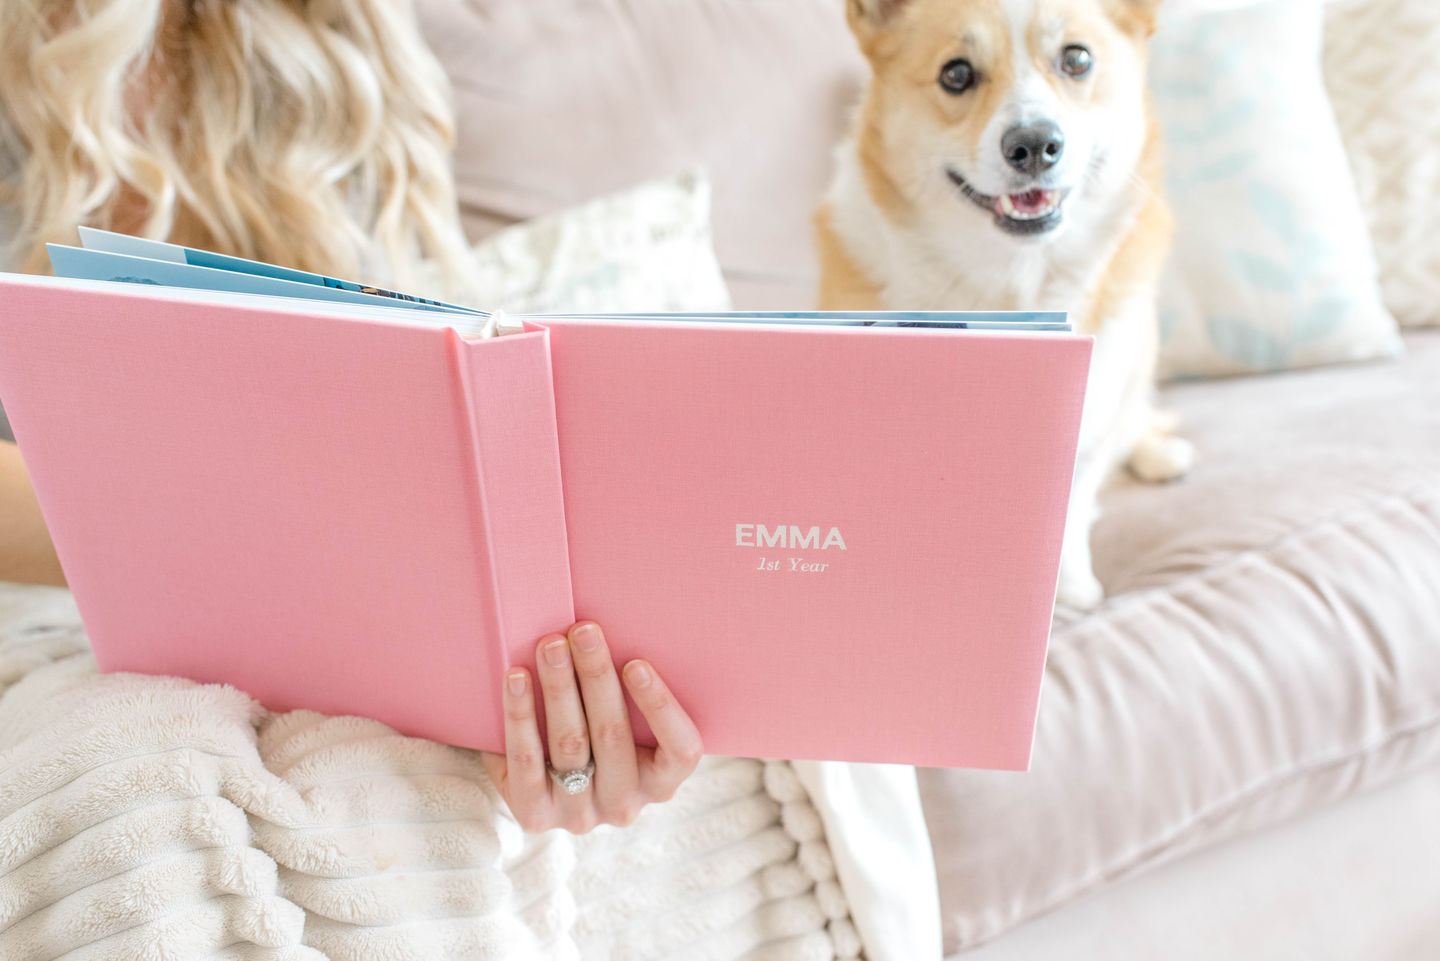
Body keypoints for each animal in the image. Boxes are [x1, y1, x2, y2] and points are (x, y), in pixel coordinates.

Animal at [817, 0, 1198, 613]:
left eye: (1076, 59)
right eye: (956, 74)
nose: (1034, 145)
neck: (1012, 279)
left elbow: (1077, 492)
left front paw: (1072, 589)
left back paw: (1161, 455)